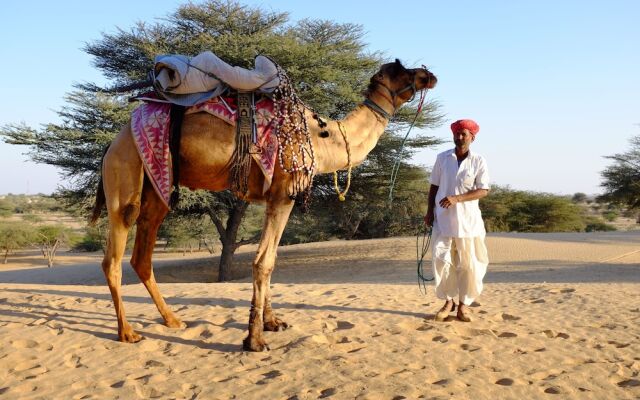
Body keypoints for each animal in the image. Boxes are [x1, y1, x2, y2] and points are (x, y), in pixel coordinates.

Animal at [92, 59, 438, 350]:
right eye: (403, 69)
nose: (429, 74)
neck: (322, 139)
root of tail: (113, 144)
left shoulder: (276, 198)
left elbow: (270, 259)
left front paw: (272, 322)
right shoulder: (283, 193)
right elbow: (263, 262)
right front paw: (254, 340)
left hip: (158, 185)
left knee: (142, 255)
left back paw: (173, 320)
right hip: (126, 174)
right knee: (114, 253)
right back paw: (127, 332)